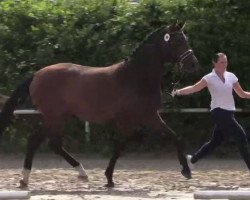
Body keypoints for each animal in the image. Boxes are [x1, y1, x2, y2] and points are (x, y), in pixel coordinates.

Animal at [0, 21, 199, 188]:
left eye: (186, 39)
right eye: (178, 41)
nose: (193, 64)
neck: (134, 77)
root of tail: (36, 75)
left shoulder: (150, 116)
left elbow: (174, 136)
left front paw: (186, 170)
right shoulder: (131, 120)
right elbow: (119, 147)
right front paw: (109, 179)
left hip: (61, 117)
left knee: (52, 144)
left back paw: (79, 172)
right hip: (54, 117)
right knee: (37, 141)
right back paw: (26, 178)